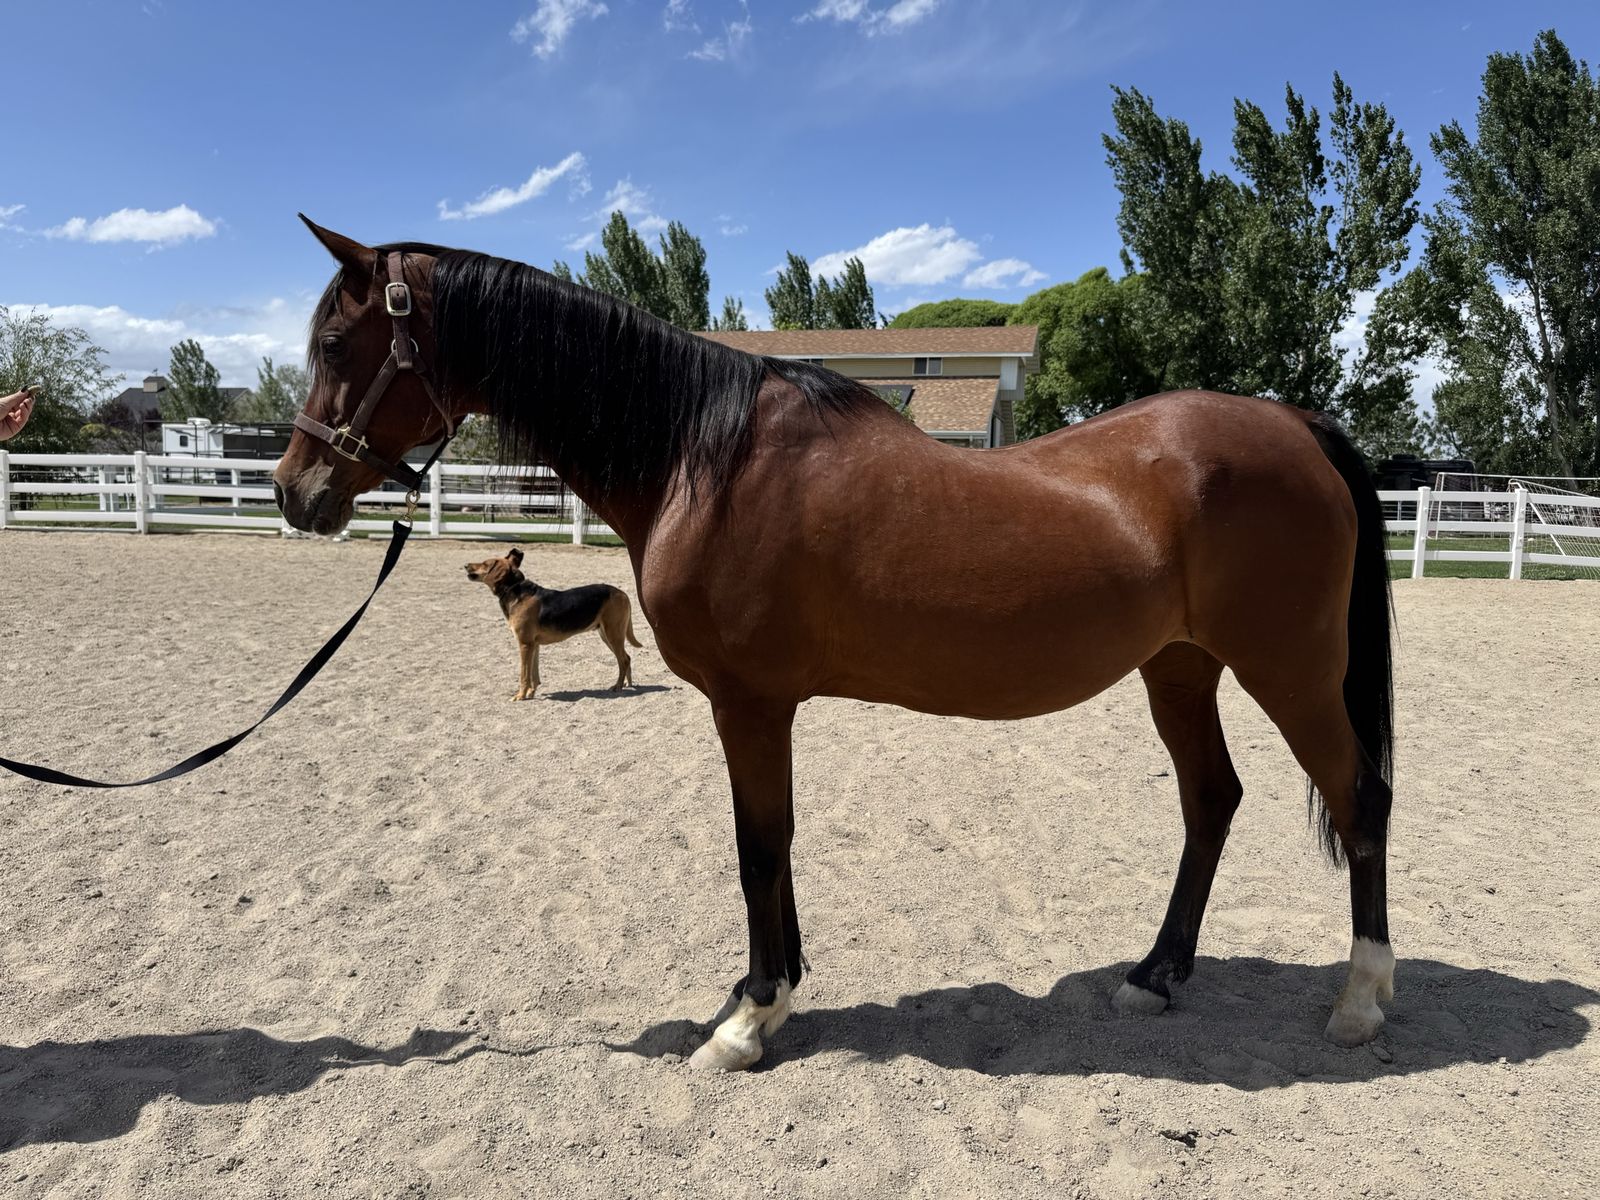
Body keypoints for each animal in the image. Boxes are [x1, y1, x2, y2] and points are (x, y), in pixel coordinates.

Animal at [273, 219, 1397, 1071]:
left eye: (335, 346)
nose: (295, 491)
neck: (704, 457)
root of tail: (1296, 427)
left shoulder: (749, 703)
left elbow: (757, 847)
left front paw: (748, 1018)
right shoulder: (761, 707)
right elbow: (774, 847)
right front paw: (769, 992)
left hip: (1289, 669)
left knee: (1359, 799)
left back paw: (1360, 999)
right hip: (1180, 668)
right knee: (1212, 801)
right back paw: (1154, 978)